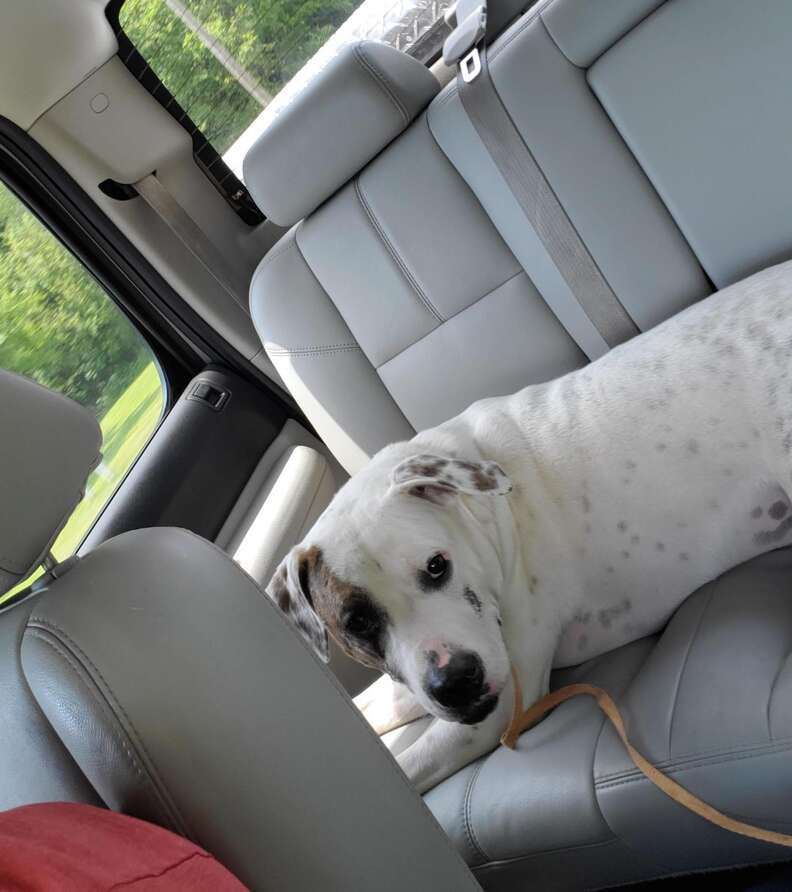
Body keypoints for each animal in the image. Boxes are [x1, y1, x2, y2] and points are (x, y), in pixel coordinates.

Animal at [270, 262, 792, 792]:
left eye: (437, 566)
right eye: (356, 622)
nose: (456, 682)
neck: (486, 513)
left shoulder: (497, 713)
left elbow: (401, 772)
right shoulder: (412, 682)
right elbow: (365, 706)